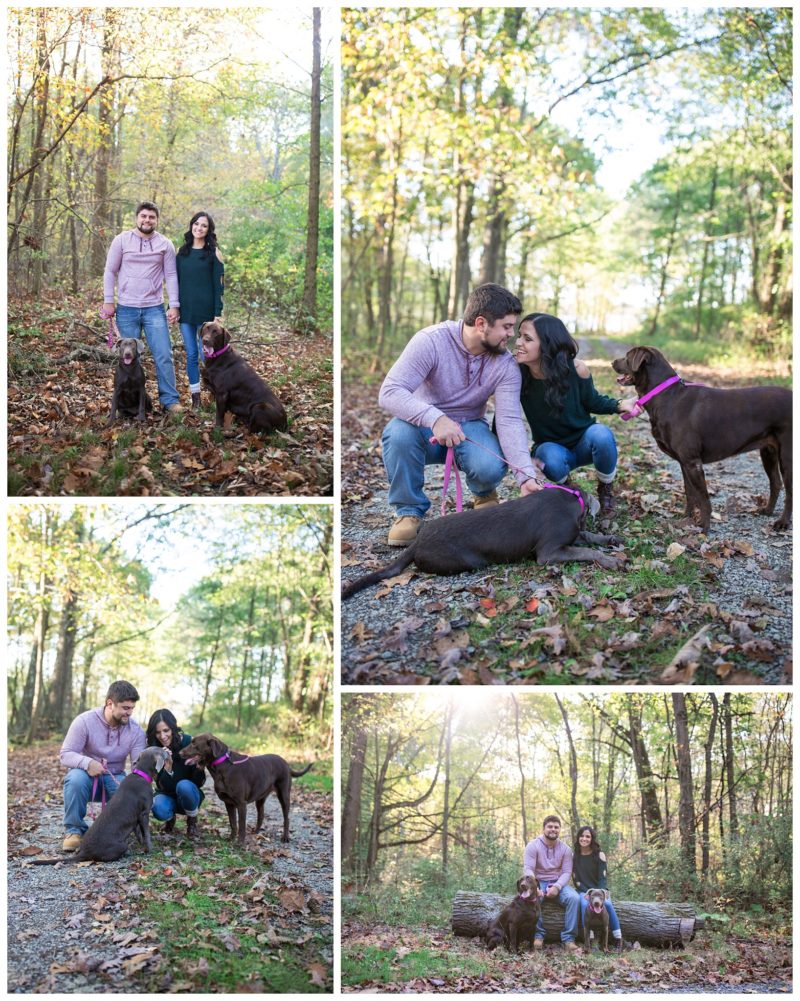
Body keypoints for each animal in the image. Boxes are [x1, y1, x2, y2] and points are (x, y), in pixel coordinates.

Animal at [181, 732, 312, 840]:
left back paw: (285, 837)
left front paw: (240, 844)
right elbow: (233, 823)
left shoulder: (241, 804)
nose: (179, 752)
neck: (224, 766)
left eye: (194, 744)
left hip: (284, 795)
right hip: (260, 798)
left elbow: (242, 825)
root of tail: (286, 764)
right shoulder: (228, 803)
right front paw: (231, 839)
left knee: (286, 818)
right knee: (261, 815)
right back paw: (256, 832)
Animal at [616, 346, 792, 532]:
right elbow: (690, 493)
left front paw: (704, 528)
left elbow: (704, 498)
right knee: (776, 482)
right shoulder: (685, 463)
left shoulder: (694, 463)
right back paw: (768, 510)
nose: (612, 362)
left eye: (627, 357)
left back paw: (783, 522)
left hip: (787, 456)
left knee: (790, 491)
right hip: (768, 451)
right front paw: (687, 517)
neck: (666, 395)